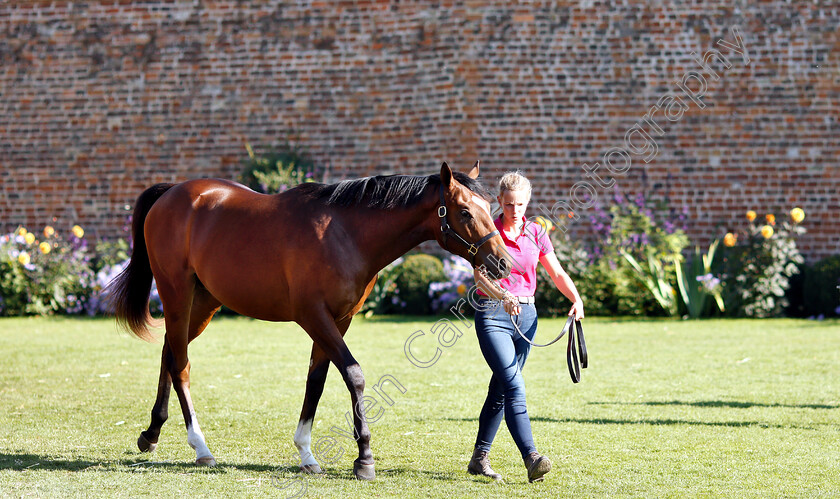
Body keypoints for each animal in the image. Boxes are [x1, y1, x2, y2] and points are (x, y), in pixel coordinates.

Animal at [106, 161, 512, 480]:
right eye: (464, 212)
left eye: (488, 206)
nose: (503, 262)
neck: (345, 234)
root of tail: (171, 193)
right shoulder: (314, 316)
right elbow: (354, 375)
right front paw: (364, 459)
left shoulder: (339, 319)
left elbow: (316, 380)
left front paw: (306, 453)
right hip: (176, 296)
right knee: (181, 365)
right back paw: (200, 447)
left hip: (205, 303)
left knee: (169, 352)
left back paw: (151, 433)